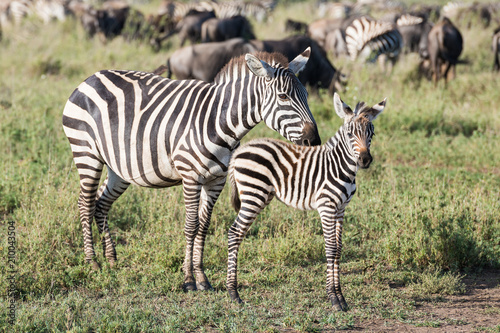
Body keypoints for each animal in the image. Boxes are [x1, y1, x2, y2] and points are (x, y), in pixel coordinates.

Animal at [62, 48, 320, 290]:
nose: (314, 140)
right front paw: (188, 279)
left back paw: (111, 259)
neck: (219, 121)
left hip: (120, 166)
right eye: (283, 97)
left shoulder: (216, 180)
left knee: (101, 203)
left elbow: (204, 227)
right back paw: (93, 262)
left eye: (307, 95)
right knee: (85, 203)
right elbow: (191, 226)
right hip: (87, 153)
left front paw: (202, 278)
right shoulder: (191, 177)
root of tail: (92, 77)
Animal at [227, 92, 386, 310]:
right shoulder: (327, 207)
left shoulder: (341, 209)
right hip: (253, 195)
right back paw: (233, 293)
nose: (365, 160)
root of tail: (238, 152)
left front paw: (341, 297)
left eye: (372, 133)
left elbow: (339, 249)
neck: (340, 166)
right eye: (350, 134)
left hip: (260, 195)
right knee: (234, 233)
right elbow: (331, 248)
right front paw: (333, 298)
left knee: (238, 232)